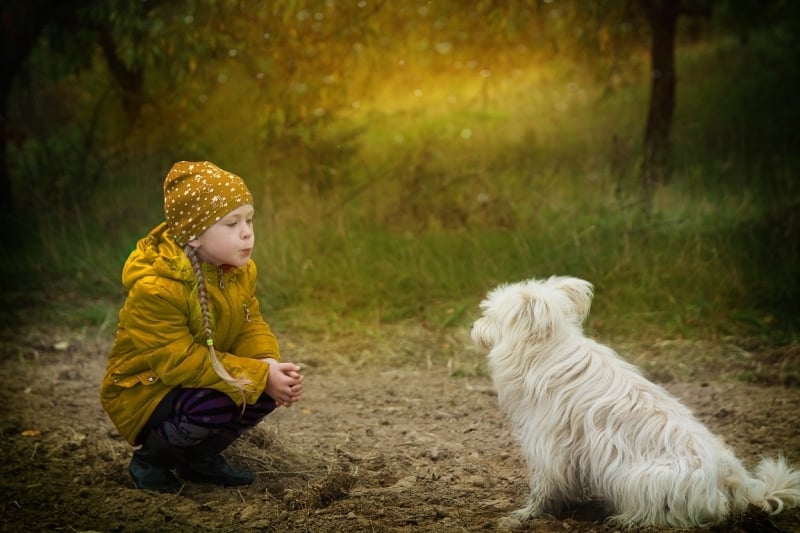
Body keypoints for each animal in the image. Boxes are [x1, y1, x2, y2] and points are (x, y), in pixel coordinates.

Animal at [468, 276, 800, 524]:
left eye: (490, 316)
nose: (473, 327)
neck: (548, 353)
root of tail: (739, 484)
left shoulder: (550, 448)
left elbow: (543, 487)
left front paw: (526, 514)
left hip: (639, 478)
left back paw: (624, 518)